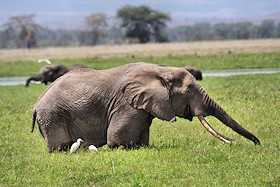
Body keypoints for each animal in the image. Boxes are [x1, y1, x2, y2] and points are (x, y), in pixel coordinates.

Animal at [29, 61, 260, 152]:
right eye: (189, 90)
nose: (257, 143)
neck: (161, 70)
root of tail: (36, 104)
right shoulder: (127, 105)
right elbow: (117, 139)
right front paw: (122, 148)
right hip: (53, 116)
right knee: (59, 146)